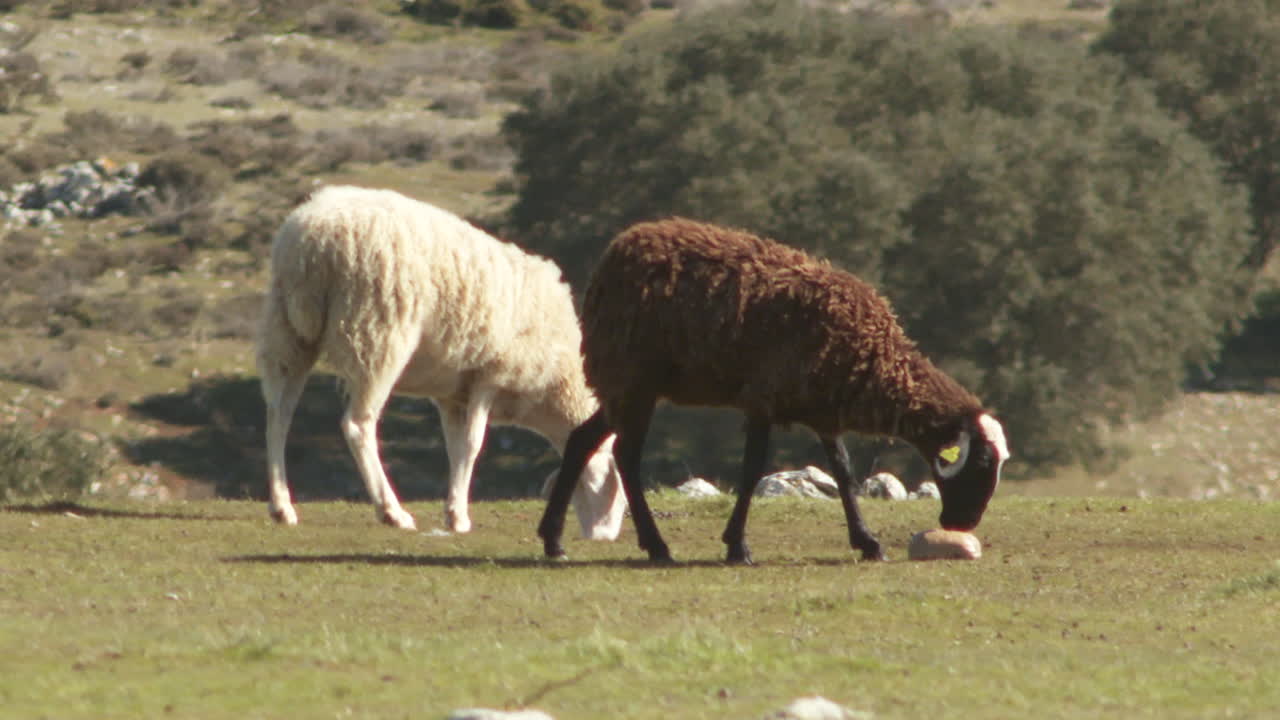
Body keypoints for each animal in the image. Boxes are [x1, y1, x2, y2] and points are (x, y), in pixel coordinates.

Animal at [256, 185, 627, 538]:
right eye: (621, 497)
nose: (604, 537)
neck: (553, 387)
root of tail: (312, 238)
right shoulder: (490, 376)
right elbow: (473, 444)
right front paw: (459, 516)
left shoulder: (452, 394)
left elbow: (455, 447)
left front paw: (453, 509)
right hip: (378, 333)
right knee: (357, 424)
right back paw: (391, 511)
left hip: (288, 331)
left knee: (278, 415)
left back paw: (282, 506)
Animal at [539, 217, 1009, 564]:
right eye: (983, 460)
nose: (964, 523)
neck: (875, 359)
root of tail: (614, 255)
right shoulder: (764, 399)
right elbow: (752, 469)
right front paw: (737, 547)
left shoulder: (822, 409)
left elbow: (844, 472)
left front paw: (868, 542)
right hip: (633, 378)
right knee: (626, 455)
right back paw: (656, 547)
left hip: (626, 385)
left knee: (582, 440)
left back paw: (553, 541)